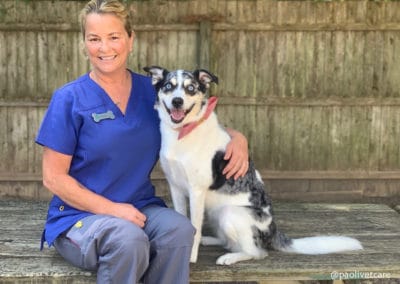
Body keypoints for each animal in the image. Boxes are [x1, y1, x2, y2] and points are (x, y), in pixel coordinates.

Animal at [144, 65, 362, 266]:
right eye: (168, 86)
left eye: (190, 88)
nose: (177, 101)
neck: (182, 132)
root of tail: (273, 231)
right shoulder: (176, 187)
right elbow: (183, 221)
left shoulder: (196, 190)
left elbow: (194, 229)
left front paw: (191, 256)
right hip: (215, 214)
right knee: (229, 241)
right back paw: (212, 241)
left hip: (229, 214)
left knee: (256, 252)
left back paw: (231, 257)